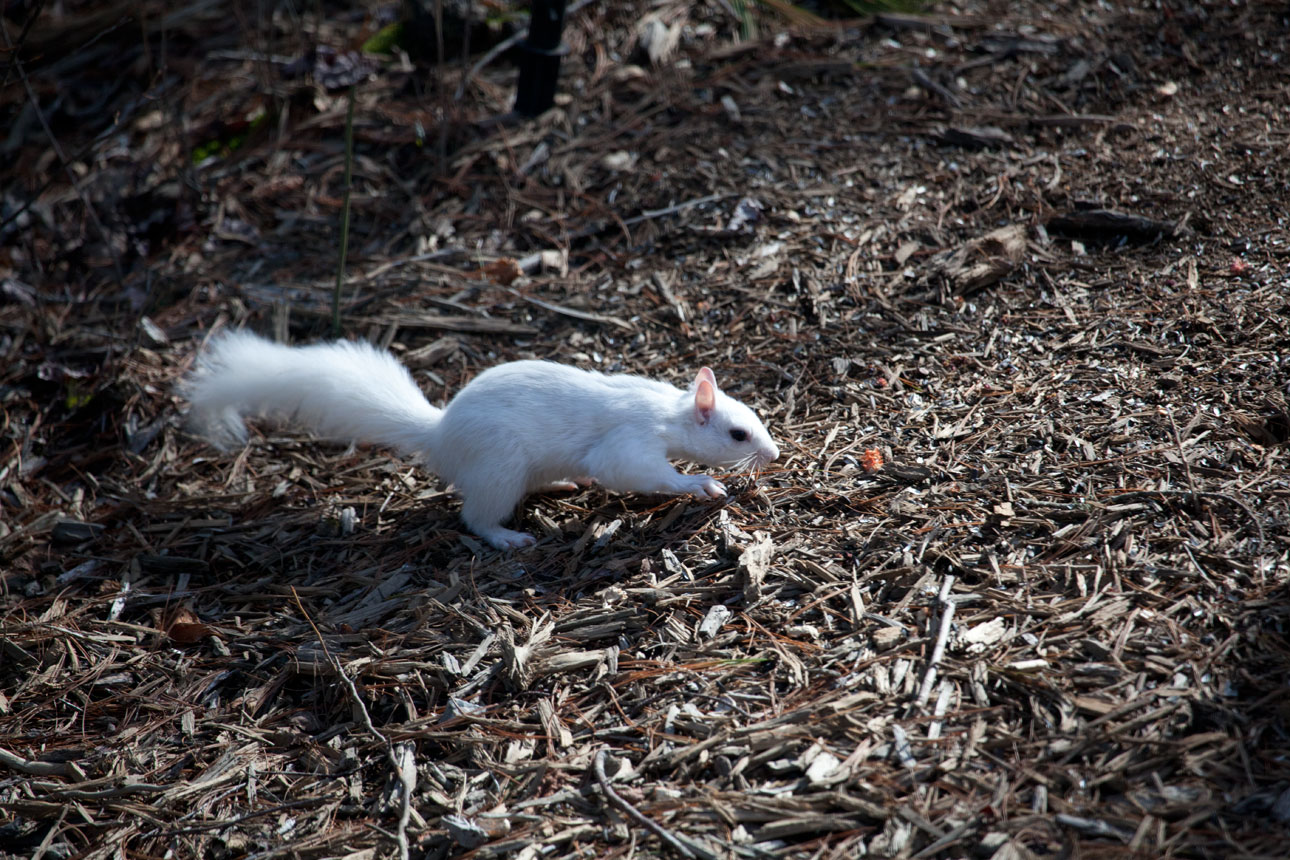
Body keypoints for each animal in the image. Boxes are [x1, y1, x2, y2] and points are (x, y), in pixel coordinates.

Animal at [185, 332, 779, 549]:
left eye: (756, 416)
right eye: (738, 433)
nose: (773, 453)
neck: (667, 413)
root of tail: (440, 434)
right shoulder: (629, 441)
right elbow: (639, 472)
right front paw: (701, 484)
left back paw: (563, 484)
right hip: (499, 469)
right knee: (475, 517)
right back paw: (509, 539)